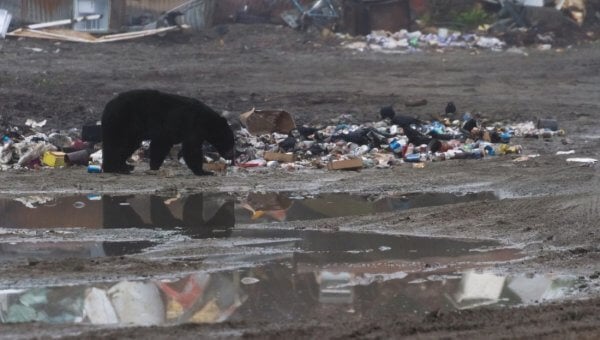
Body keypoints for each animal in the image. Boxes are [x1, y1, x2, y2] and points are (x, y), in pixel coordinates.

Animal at [101, 89, 234, 175]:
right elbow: (192, 148)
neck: (207, 121)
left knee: (126, 145)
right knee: (118, 144)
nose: (231, 157)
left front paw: (154, 166)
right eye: (231, 142)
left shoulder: (168, 132)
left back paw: (124, 166)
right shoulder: (192, 125)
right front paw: (204, 171)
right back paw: (113, 168)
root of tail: (108, 106)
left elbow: (161, 145)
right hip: (124, 121)